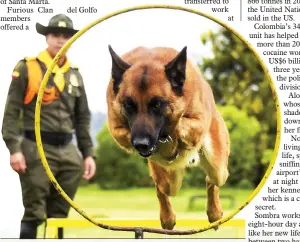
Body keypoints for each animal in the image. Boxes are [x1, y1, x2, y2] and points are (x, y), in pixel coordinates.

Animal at [106, 45, 230, 231]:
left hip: (218, 168)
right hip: (170, 181)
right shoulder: (117, 129)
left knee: (211, 179)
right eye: (129, 105)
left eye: (157, 104)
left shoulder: (198, 122)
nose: (141, 145)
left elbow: (180, 124)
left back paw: (214, 212)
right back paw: (167, 217)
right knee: (161, 189)